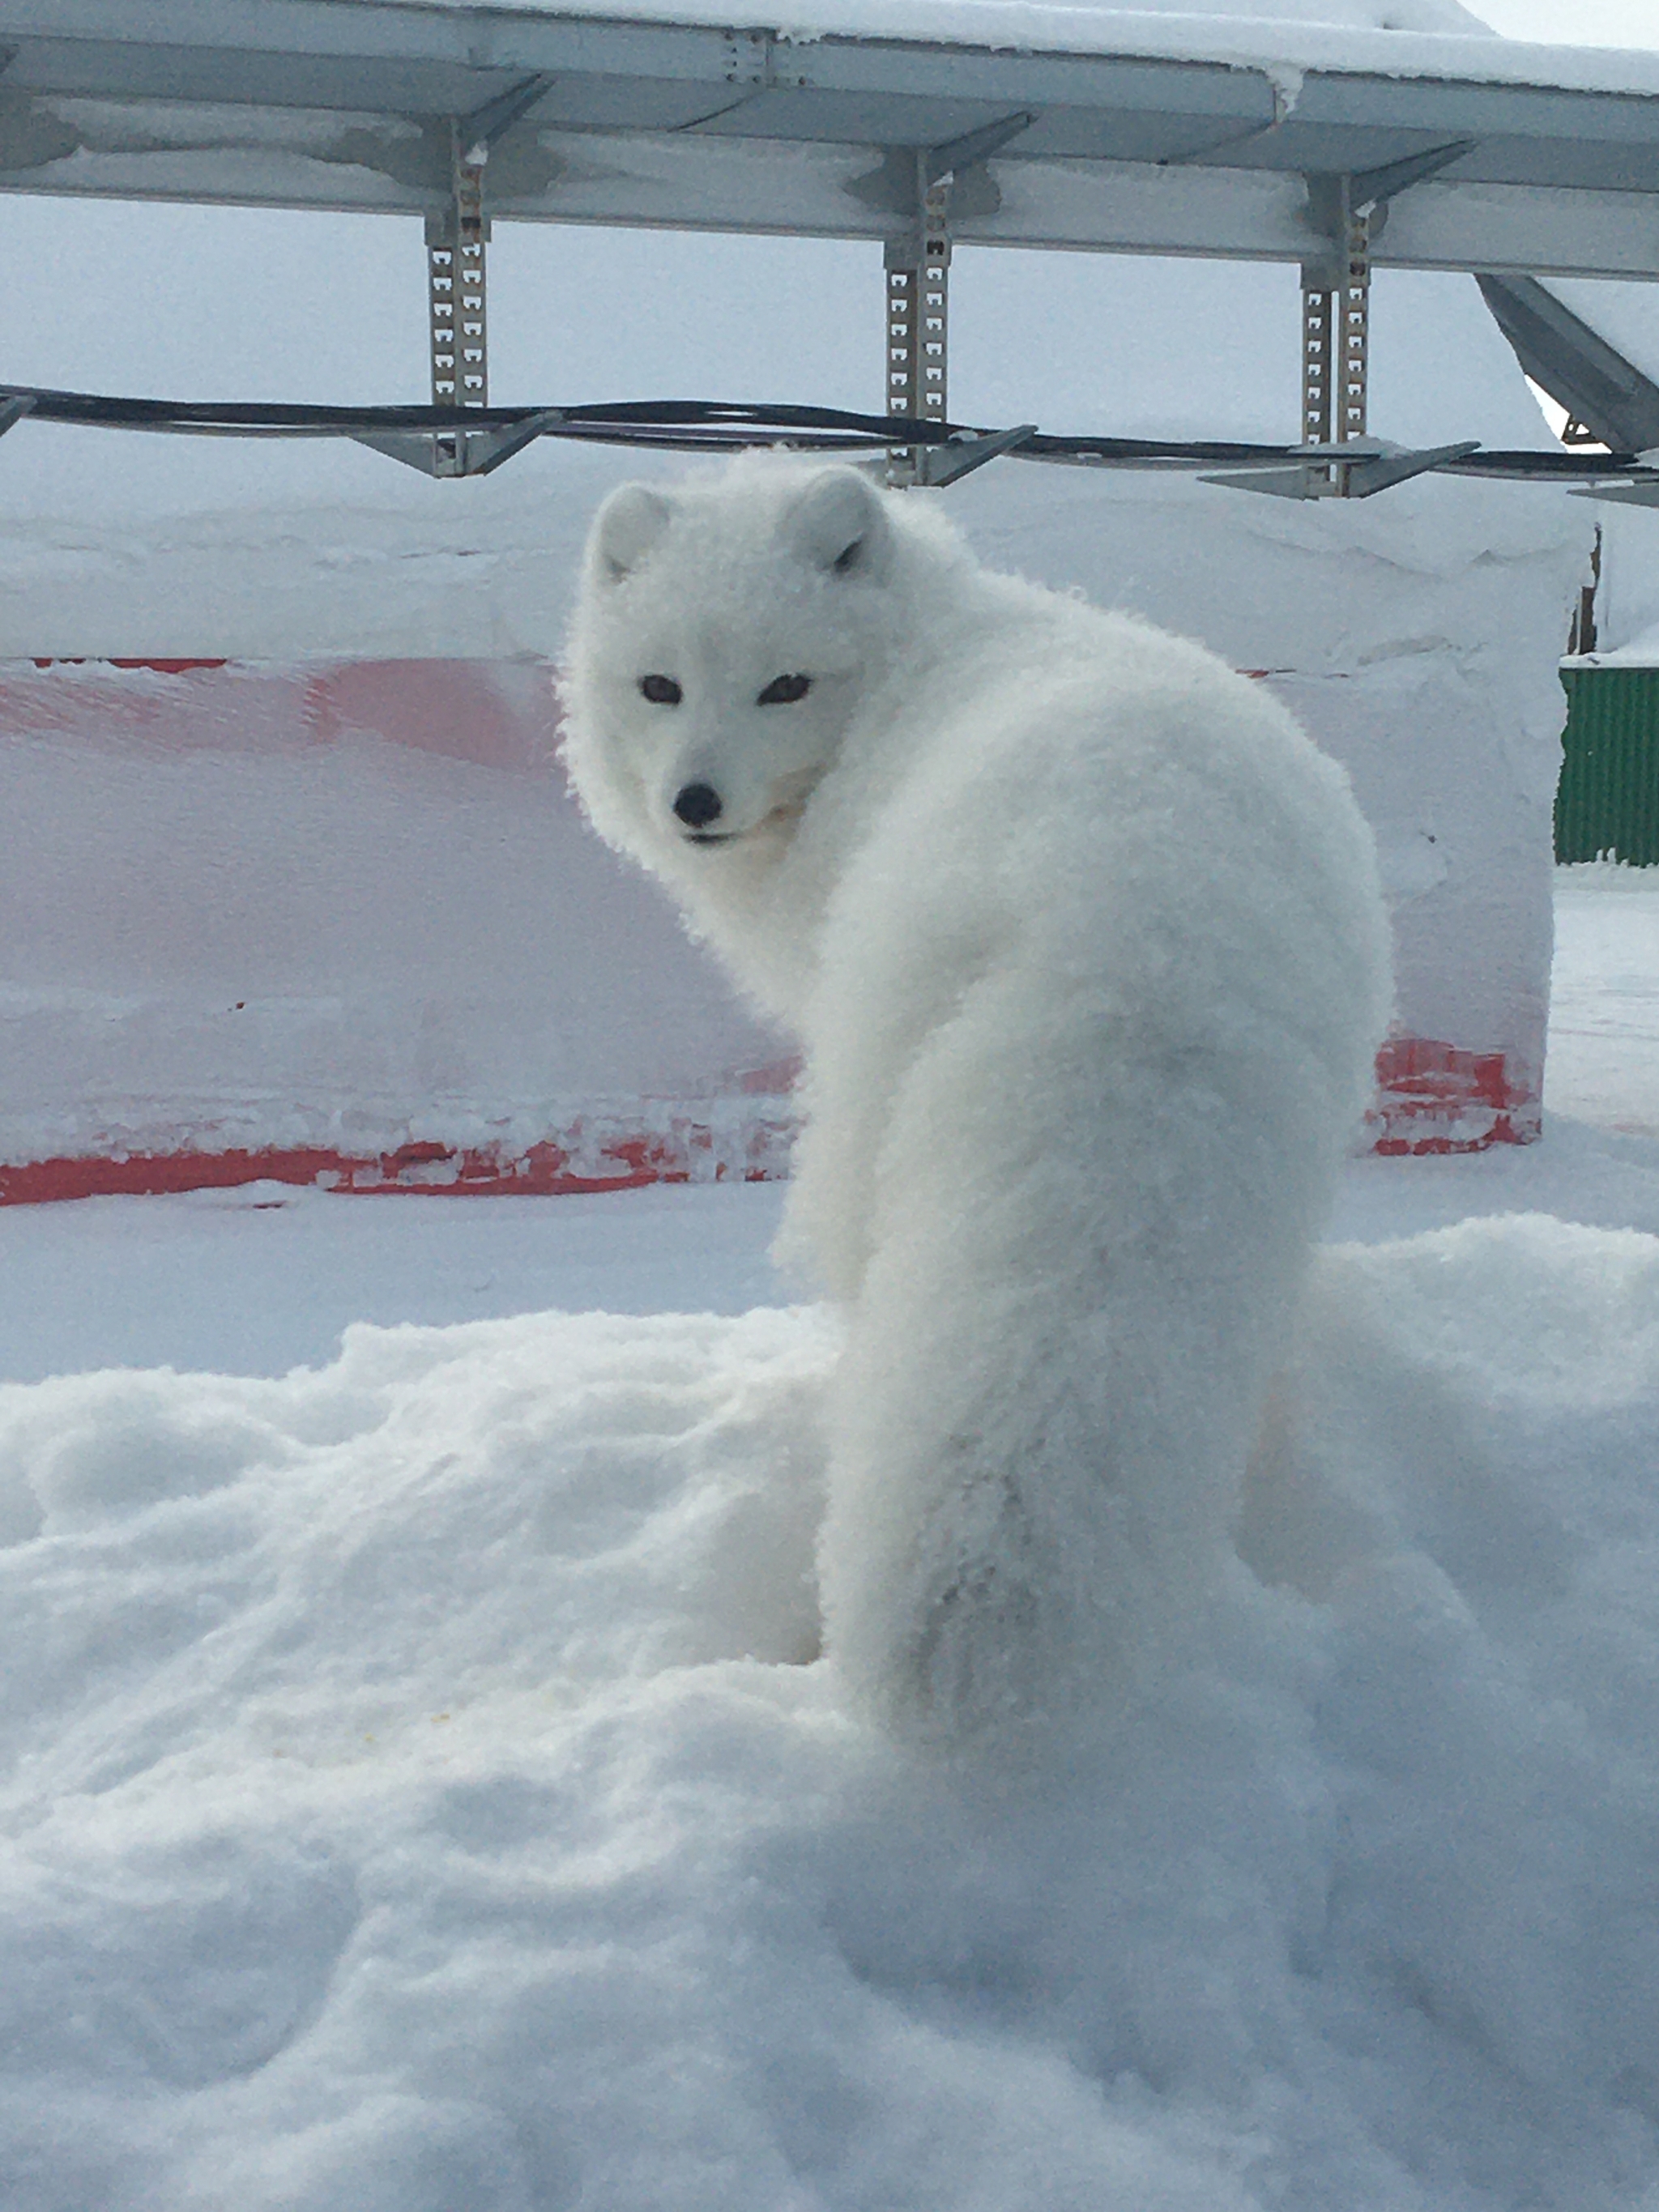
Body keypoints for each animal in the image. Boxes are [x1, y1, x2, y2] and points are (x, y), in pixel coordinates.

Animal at [566, 462, 1397, 1743]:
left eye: (783, 685)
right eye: (660, 685)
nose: (693, 801)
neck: (915, 668)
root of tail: (1139, 935)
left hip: (874, 1103)